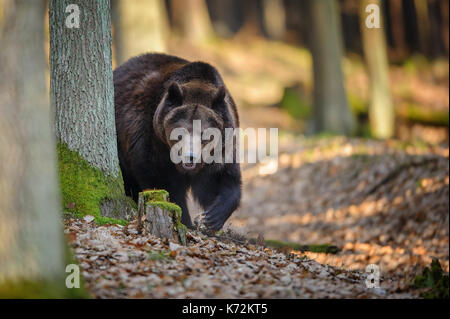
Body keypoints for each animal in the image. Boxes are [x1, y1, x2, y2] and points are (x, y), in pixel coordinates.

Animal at [114, 53, 243, 231]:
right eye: (180, 132)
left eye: (204, 134)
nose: (190, 156)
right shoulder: (151, 140)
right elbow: (162, 183)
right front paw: (186, 220)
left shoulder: (222, 148)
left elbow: (222, 179)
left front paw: (210, 218)